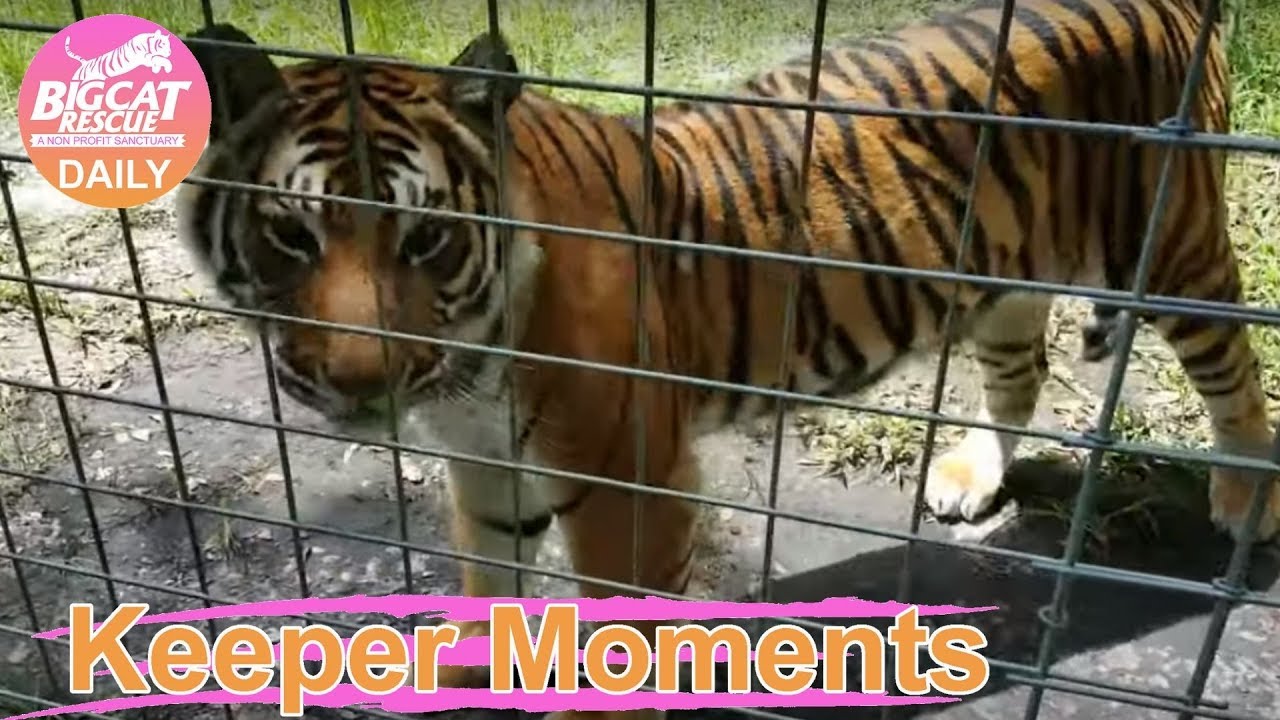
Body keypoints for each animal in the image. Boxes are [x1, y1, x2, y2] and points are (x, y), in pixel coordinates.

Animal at [178, 0, 1276, 715]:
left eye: (425, 239)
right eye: (291, 236)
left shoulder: (623, 480)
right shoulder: (486, 466)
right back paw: (970, 477)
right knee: (1021, 370)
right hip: (1004, 277)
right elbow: (487, 591)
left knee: (1232, 365)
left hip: (1171, 245)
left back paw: (1242, 503)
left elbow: (615, 629)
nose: (360, 379)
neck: (466, 362)